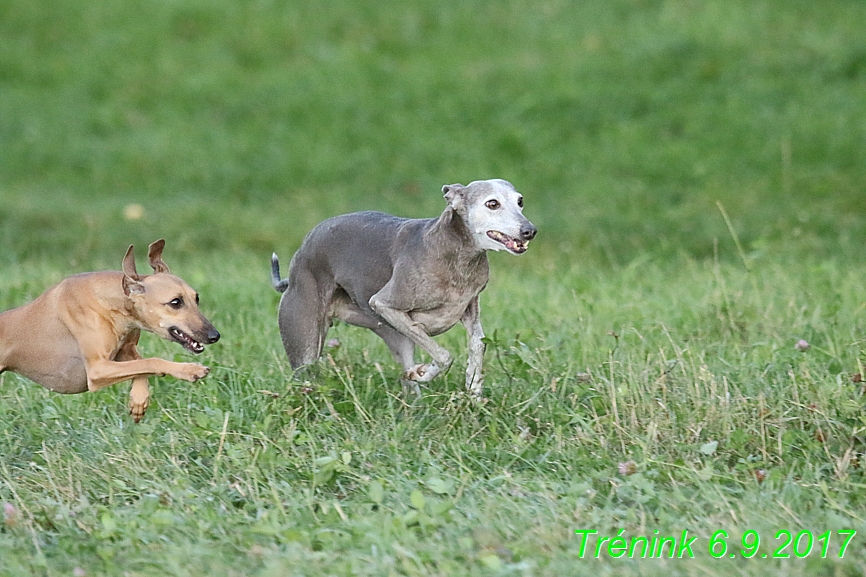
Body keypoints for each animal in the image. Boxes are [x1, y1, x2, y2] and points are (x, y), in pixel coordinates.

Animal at [0, 236, 219, 420]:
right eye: (175, 302)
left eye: (196, 298)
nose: (214, 336)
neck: (110, 303)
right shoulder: (98, 369)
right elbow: (152, 361)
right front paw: (190, 370)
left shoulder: (125, 350)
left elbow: (142, 367)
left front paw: (138, 400)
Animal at [270, 180, 532, 396]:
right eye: (492, 203)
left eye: (520, 201)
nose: (529, 230)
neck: (455, 253)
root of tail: (302, 250)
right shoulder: (384, 304)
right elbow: (444, 355)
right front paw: (425, 372)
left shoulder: (469, 309)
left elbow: (478, 343)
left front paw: (473, 388)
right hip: (306, 346)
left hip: (395, 336)